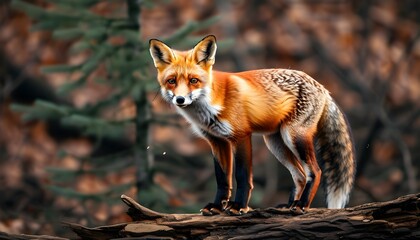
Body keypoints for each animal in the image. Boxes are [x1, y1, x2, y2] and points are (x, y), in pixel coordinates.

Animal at [149, 35, 356, 216]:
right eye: (171, 81)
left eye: (193, 80)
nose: (180, 99)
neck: (210, 105)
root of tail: (322, 86)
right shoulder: (217, 141)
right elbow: (222, 179)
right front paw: (217, 207)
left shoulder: (241, 136)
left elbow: (242, 177)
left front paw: (238, 206)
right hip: (275, 143)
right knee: (300, 175)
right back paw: (290, 204)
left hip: (293, 136)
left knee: (315, 172)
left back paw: (301, 205)